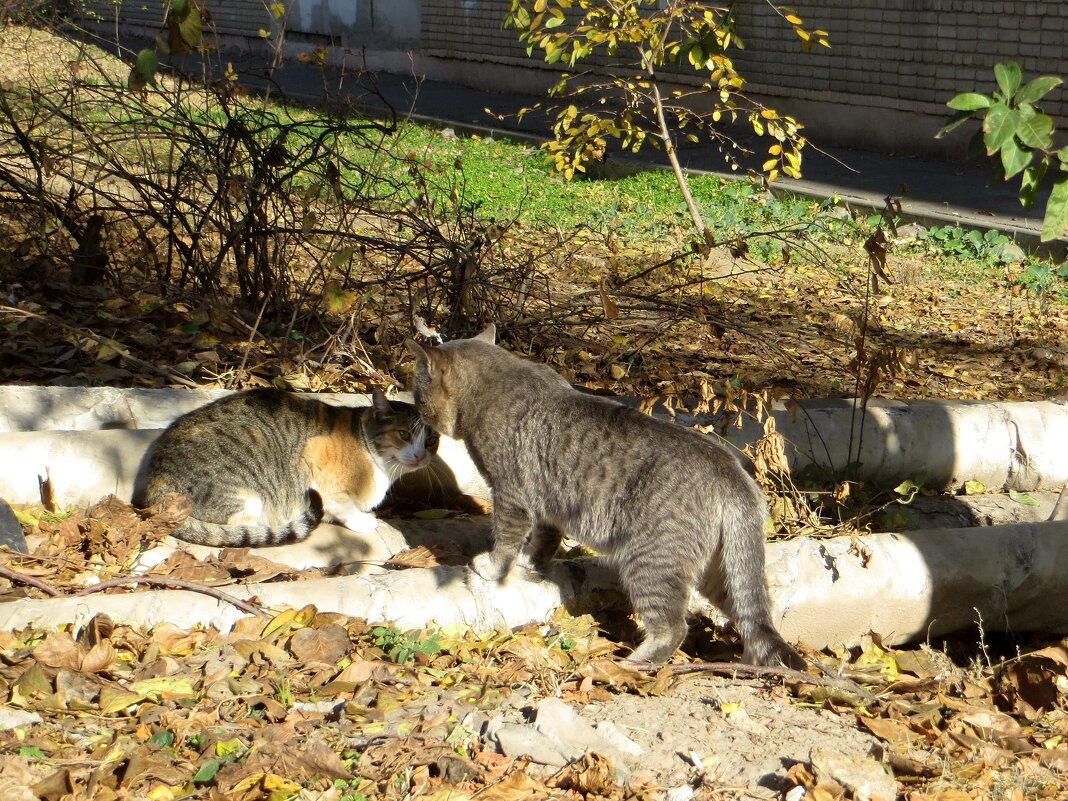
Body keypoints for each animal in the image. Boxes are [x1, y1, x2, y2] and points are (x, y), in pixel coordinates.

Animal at [135, 386, 435, 551]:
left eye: (431, 440)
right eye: (404, 434)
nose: (421, 455)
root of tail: (154, 486)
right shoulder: (314, 457)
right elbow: (341, 505)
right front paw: (362, 520)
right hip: (248, 491)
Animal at [405, 326, 803, 670]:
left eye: (418, 396)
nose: (415, 414)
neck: (495, 382)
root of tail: (733, 472)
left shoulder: (510, 494)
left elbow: (505, 542)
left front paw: (494, 567)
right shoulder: (550, 504)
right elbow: (543, 542)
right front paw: (530, 565)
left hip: (650, 563)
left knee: (673, 627)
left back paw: (634, 663)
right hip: (719, 572)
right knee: (752, 621)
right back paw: (749, 664)